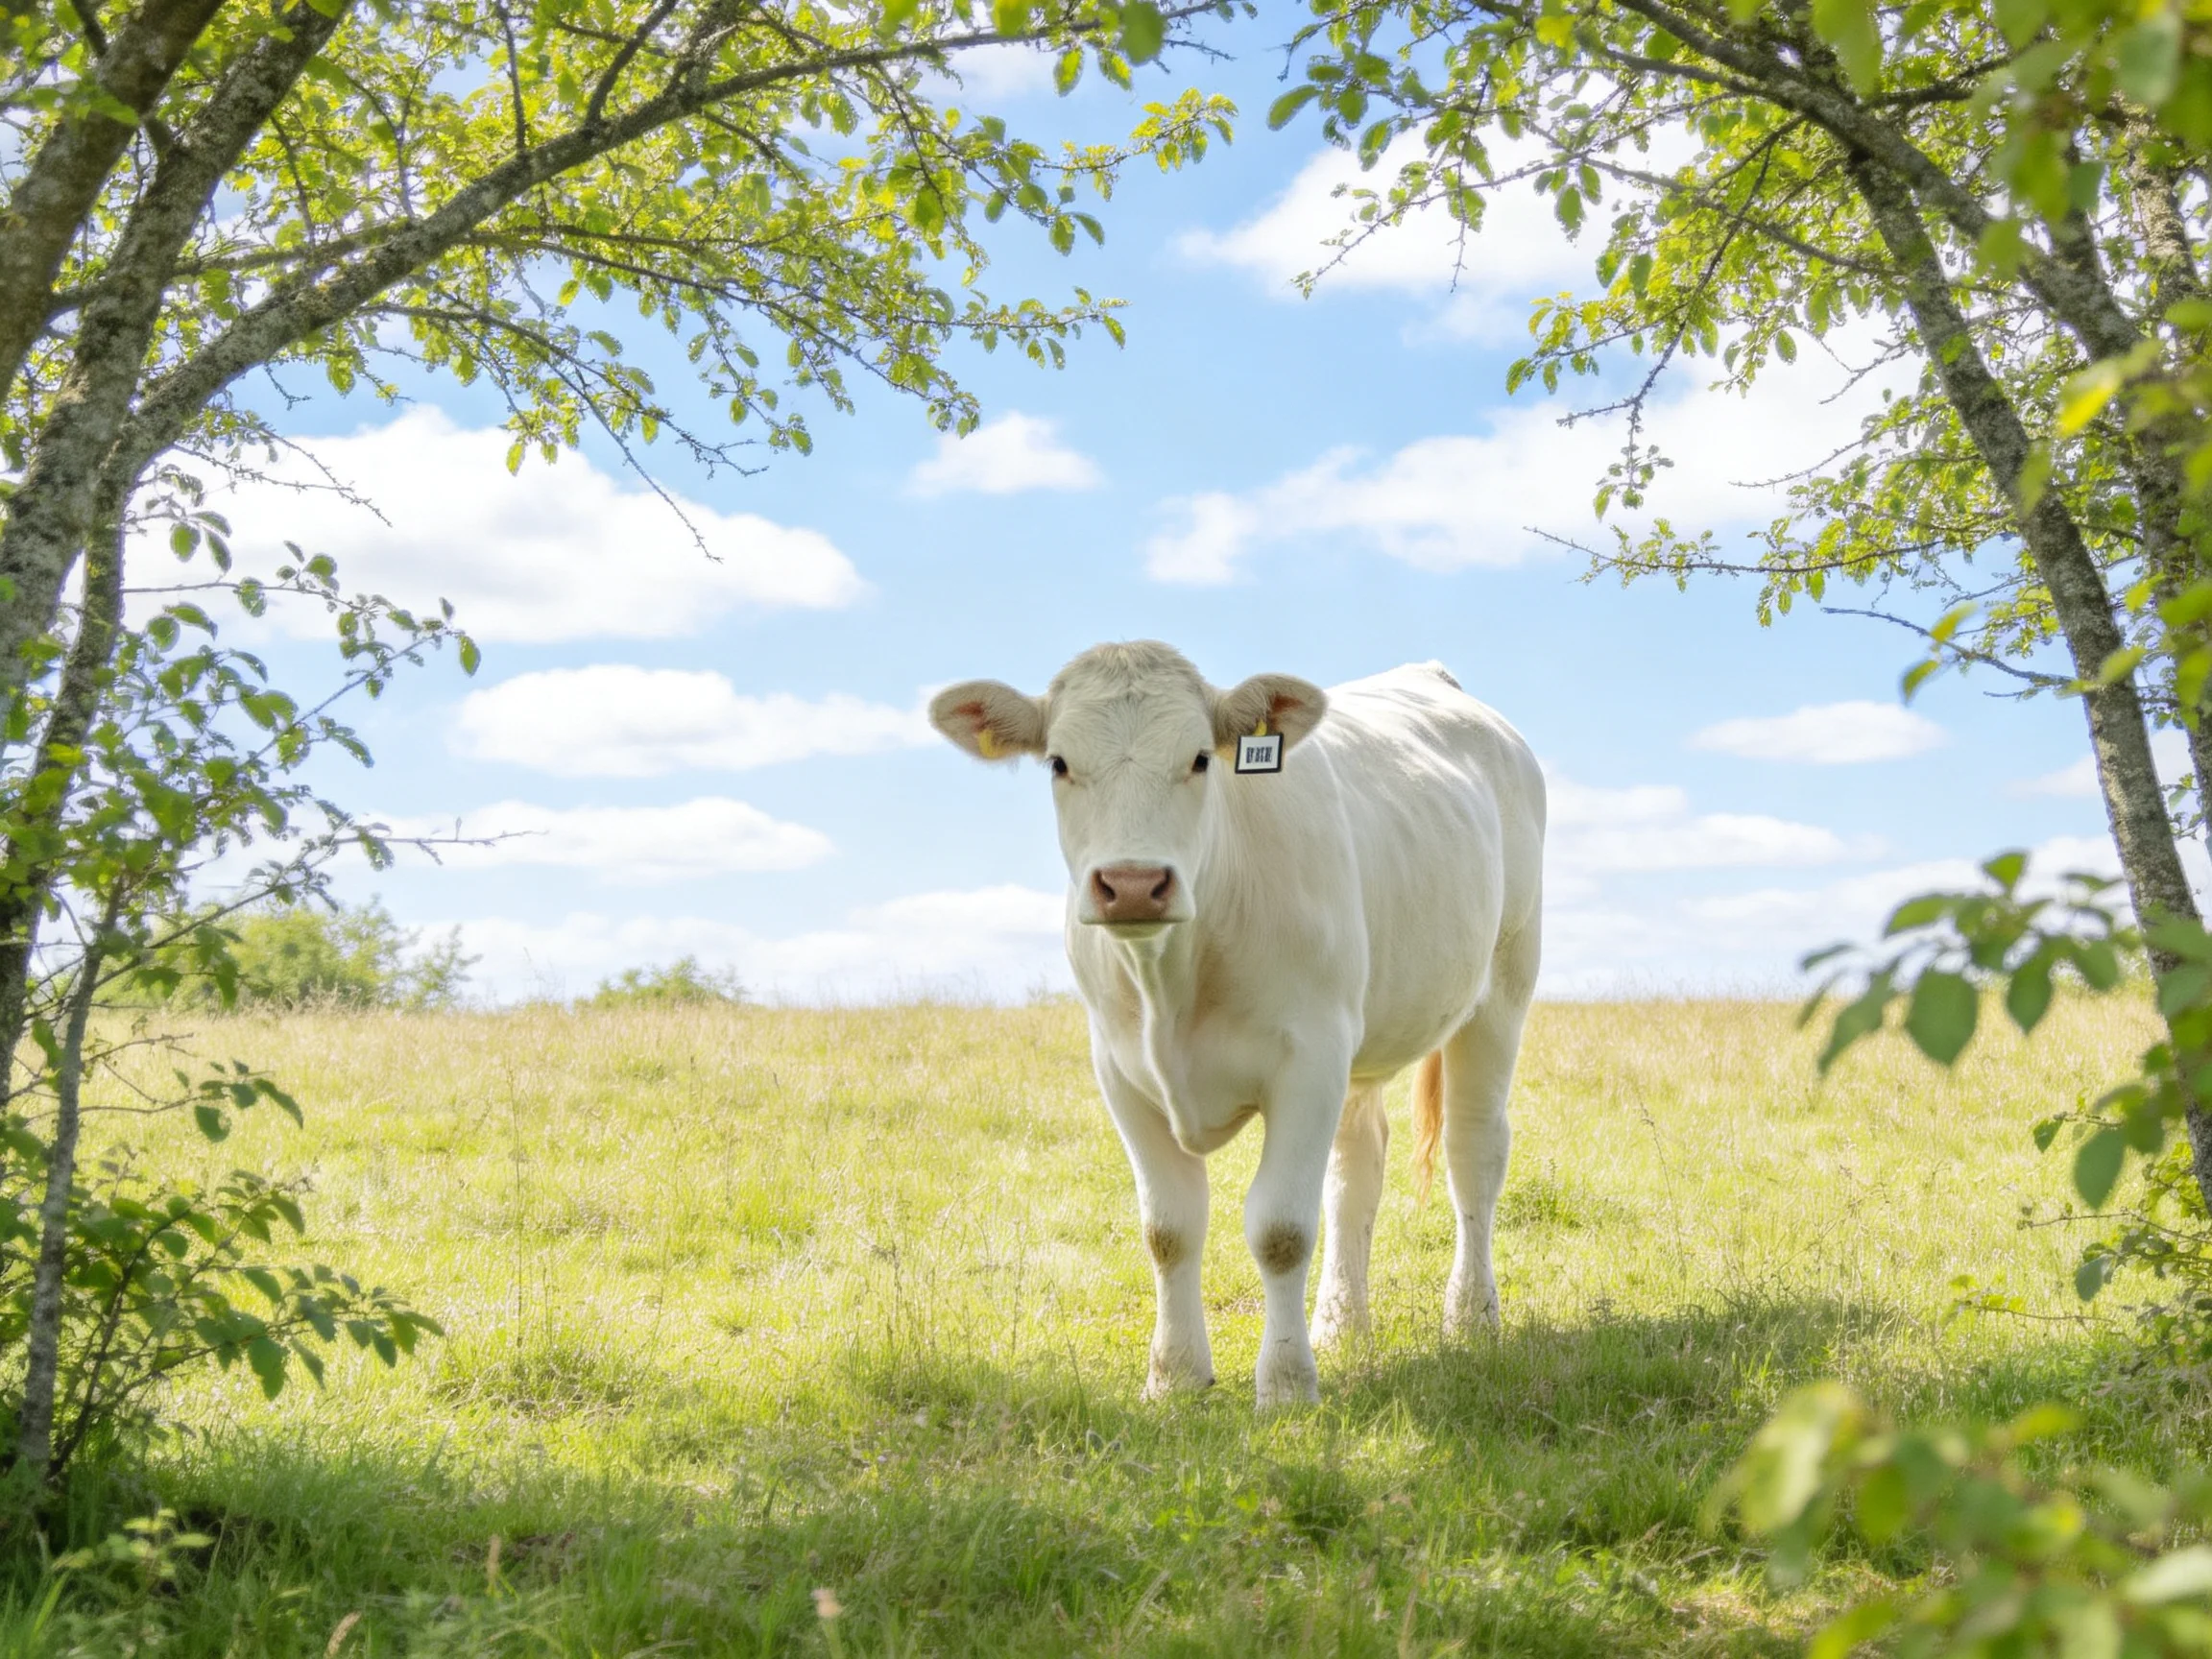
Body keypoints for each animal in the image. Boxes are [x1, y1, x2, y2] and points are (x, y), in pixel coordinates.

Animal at [929, 642, 1544, 1407]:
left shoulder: (1309, 1058)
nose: (1134, 884)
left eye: (1200, 758)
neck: (1173, 981)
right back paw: (1341, 1326)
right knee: (1356, 1169)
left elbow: (1280, 1229)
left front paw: (1285, 1384)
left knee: (1472, 1152)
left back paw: (1471, 1317)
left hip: (1504, 982)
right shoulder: (1120, 1070)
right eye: (1059, 763)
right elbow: (1168, 1229)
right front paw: (1175, 1376)